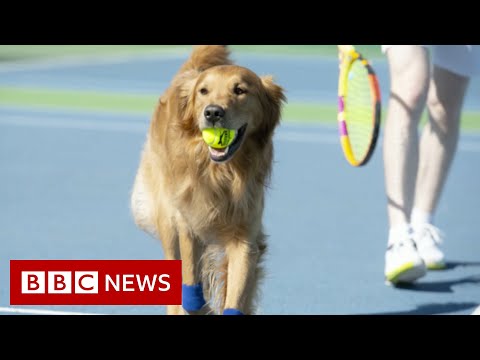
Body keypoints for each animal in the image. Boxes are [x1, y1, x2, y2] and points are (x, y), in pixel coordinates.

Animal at [130, 45, 284, 316]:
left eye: (240, 90)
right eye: (204, 91)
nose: (213, 112)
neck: (221, 175)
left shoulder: (245, 237)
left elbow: (236, 294)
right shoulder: (188, 224)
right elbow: (191, 284)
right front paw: (196, 305)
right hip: (167, 220)